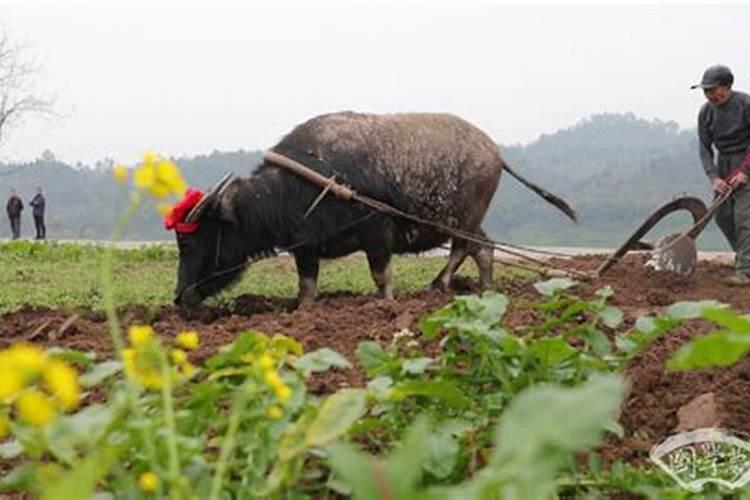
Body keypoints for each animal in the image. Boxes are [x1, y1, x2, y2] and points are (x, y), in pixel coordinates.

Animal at [169, 112, 576, 306]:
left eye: (188, 241)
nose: (180, 297)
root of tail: (494, 152)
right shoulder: (305, 247)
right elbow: (306, 286)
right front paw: (302, 311)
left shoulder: (376, 233)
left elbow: (382, 278)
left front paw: (386, 305)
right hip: (467, 219)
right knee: (483, 248)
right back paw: (483, 289)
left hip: (464, 218)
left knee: (466, 247)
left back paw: (441, 285)